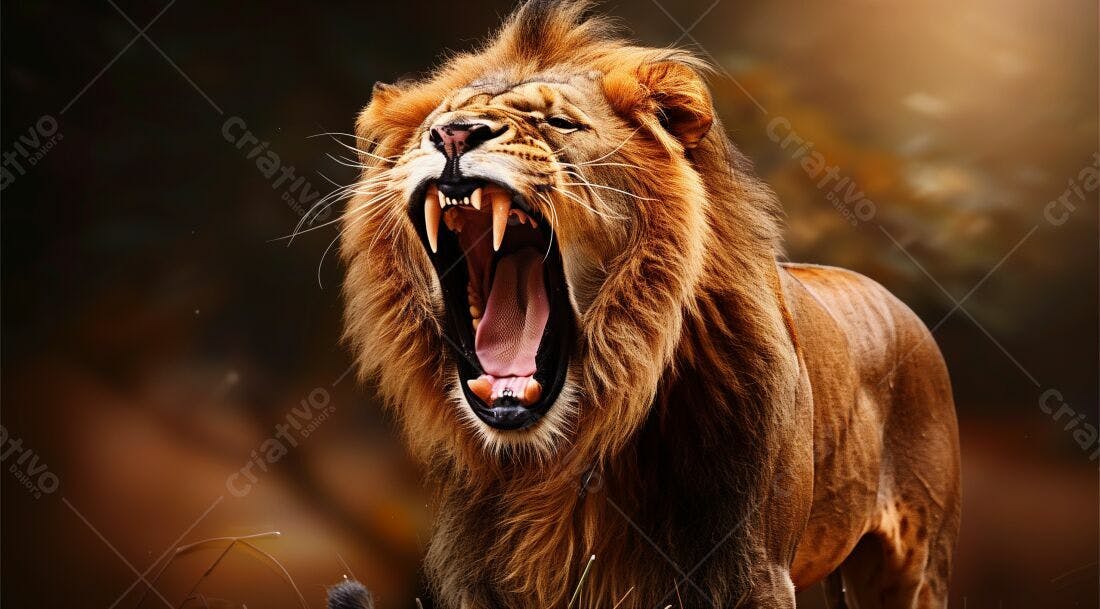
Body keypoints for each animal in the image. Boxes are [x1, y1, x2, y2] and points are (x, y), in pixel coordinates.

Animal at [338, 1, 961, 607]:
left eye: (560, 122)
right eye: (432, 126)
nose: (454, 135)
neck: (566, 457)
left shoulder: (750, 568)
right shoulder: (483, 575)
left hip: (913, 566)